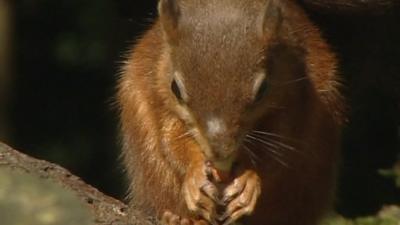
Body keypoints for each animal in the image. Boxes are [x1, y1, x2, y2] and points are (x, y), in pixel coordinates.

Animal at [115, 0, 344, 225]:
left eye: (263, 89)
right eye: (175, 88)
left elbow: (279, 146)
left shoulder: (294, 96)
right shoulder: (155, 87)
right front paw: (195, 175)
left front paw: (249, 178)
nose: (220, 152)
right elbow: (169, 138)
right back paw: (179, 218)